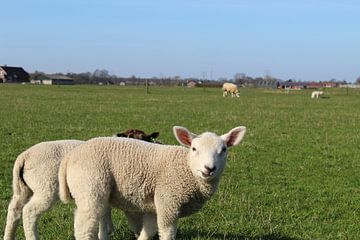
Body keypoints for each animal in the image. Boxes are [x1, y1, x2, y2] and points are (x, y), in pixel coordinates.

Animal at [3, 129, 161, 240]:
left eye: (145, 140)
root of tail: (24, 157)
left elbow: (105, 213)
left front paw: (107, 231)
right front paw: (104, 234)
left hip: (23, 188)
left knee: (14, 210)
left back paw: (8, 236)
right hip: (46, 187)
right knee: (29, 211)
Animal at [59, 125, 246, 240]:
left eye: (224, 150)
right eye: (194, 149)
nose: (209, 169)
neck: (186, 167)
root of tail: (70, 156)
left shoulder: (156, 206)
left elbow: (147, 231)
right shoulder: (168, 203)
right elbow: (167, 233)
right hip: (90, 187)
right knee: (83, 228)